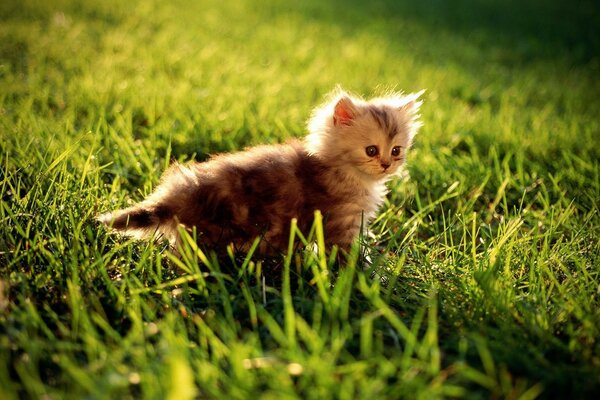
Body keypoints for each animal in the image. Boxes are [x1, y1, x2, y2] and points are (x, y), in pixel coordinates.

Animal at [98, 88, 424, 256]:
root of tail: (178, 195)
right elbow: (349, 257)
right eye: (371, 150)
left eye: (396, 150)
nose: (386, 164)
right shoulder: (339, 225)